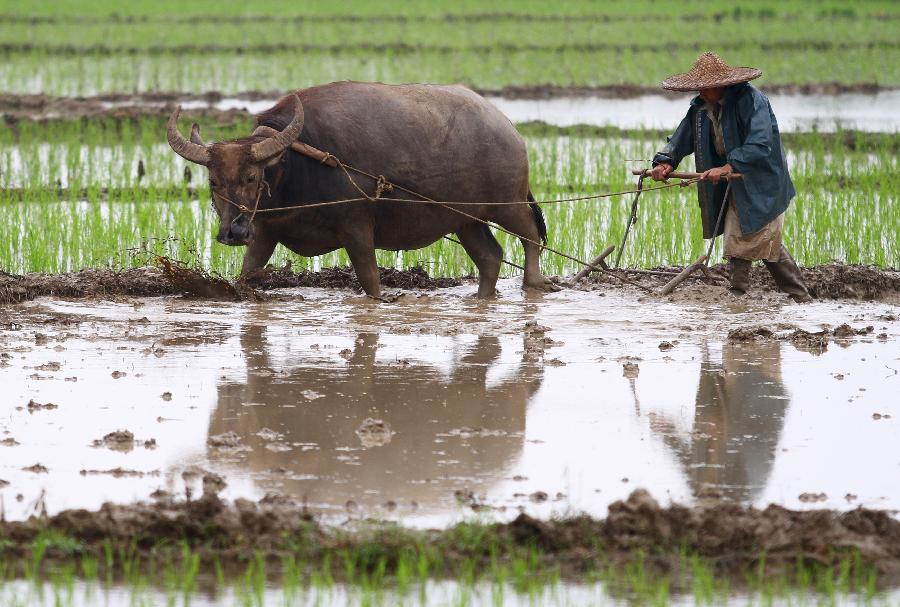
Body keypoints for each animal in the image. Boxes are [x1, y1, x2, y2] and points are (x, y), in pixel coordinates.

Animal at [166, 81, 560, 300]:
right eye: (213, 181)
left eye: (251, 177)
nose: (232, 232)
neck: (295, 169)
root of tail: (508, 128)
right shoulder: (263, 231)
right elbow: (246, 274)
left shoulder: (356, 228)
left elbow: (370, 280)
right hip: (466, 220)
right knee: (490, 257)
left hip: (507, 203)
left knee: (530, 236)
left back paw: (535, 283)